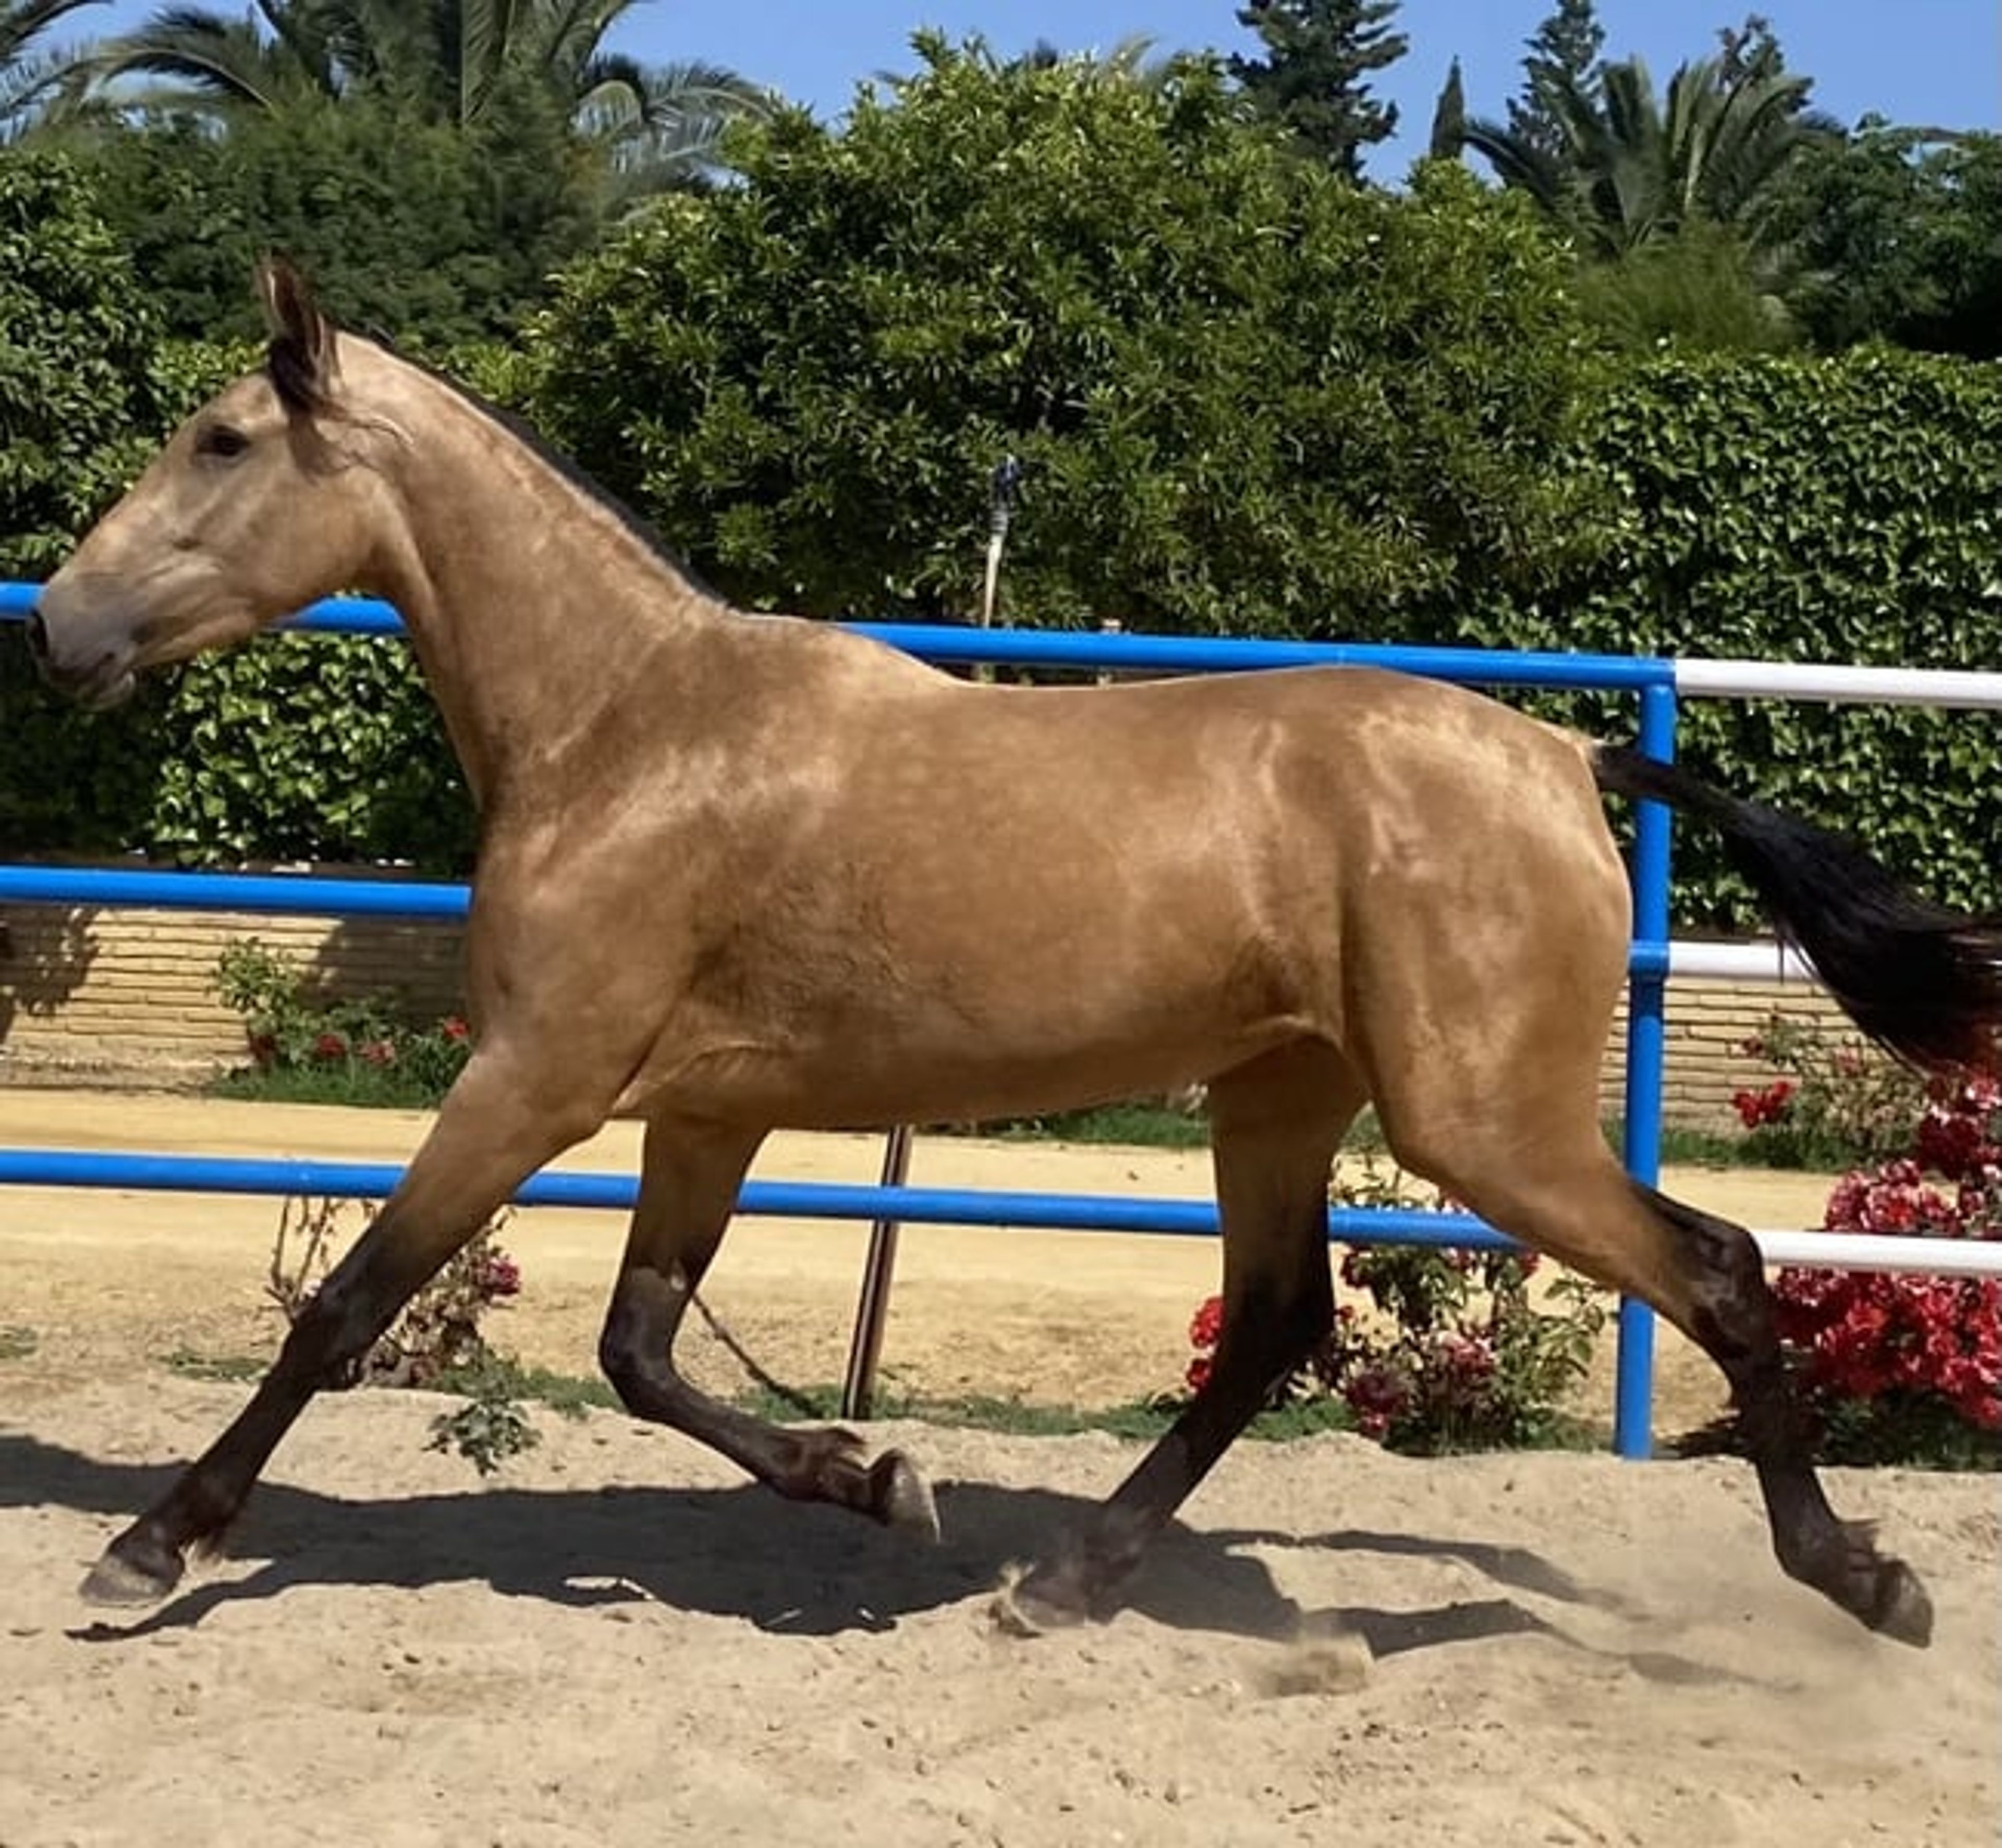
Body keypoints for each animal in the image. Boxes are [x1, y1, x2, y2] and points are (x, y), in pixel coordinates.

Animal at [28, 262, 2001, 1646]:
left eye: (220, 439)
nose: (54, 624)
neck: (629, 726)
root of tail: (1570, 755)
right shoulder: (702, 1111)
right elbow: (640, 1346)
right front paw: (876, 1477)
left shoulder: (535, 1075)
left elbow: (351, 1302)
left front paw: (146, 1546)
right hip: (1282, 1092)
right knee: (1277, 1321)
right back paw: (1062, 1575)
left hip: (1480, 1122)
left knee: (1719, 1266)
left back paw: (1865, 1582)